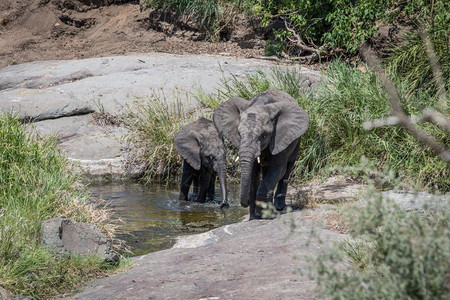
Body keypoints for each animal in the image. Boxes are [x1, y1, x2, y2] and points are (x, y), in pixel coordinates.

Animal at [213, 88, 308, 219]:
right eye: (239, 134)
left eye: (263, 135)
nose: (224, 205)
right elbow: (253, 172)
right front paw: (254, 216)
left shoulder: (280, 137)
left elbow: (278, 169)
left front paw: (264, 214)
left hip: (296, 140)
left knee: (288, 168)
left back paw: (279, 207)